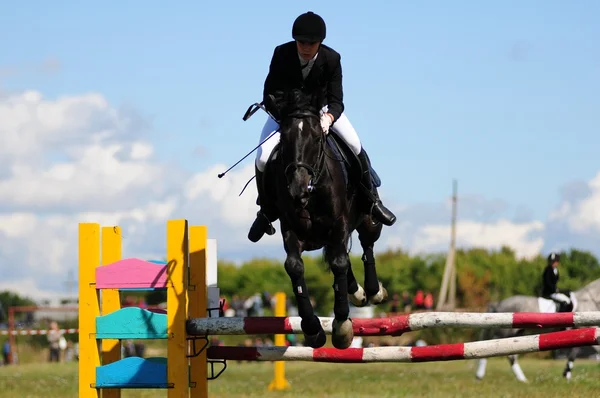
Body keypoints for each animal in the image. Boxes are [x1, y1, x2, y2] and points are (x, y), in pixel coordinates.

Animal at [258, 89, 390, 348]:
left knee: (366, 245)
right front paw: (312, 329)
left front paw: (341, 326)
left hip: (368, 219)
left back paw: (372, 290)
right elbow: (295, 267)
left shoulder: (338, 223)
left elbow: (339, 263)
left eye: (317, 138)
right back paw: (357, 292)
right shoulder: (291, 229)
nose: (297, 188)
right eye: (284, 139)